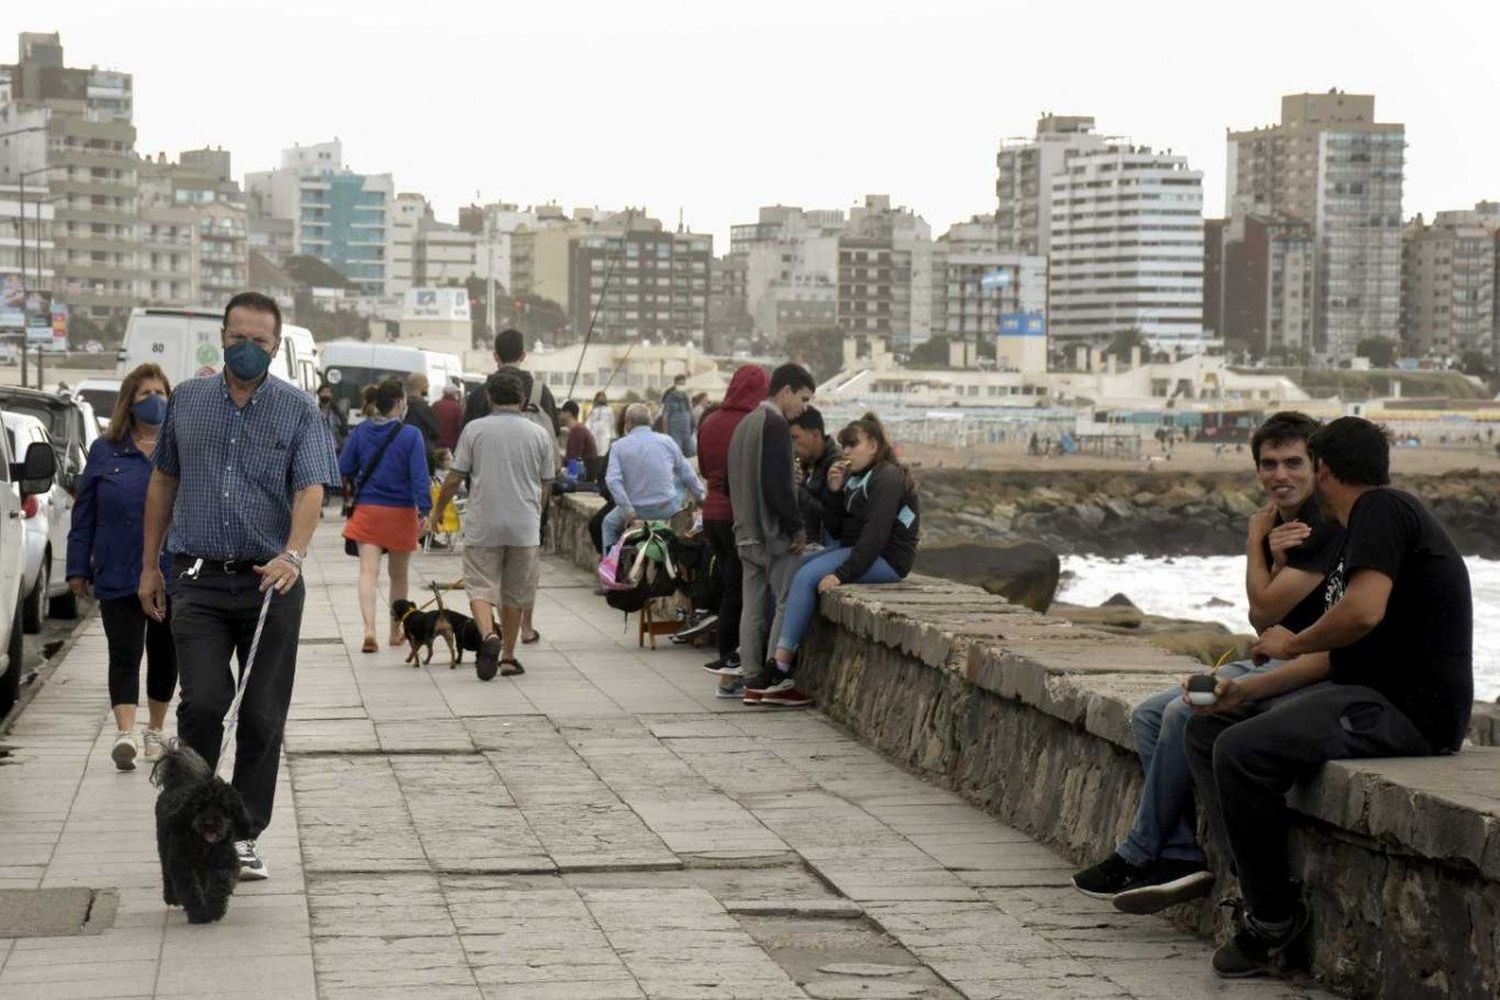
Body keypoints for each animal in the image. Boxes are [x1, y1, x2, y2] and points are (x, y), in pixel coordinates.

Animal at [150, 743, 250, 923]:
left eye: (224, 808)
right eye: (201, 806)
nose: (210, 824)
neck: (203, 844)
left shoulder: (225, 861)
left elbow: (220, 882)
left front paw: (214, 909)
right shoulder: (182, 863)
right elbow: (190, 889)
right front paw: (199, 913)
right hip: (164, 845)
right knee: (167, 872)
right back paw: (171, 897)